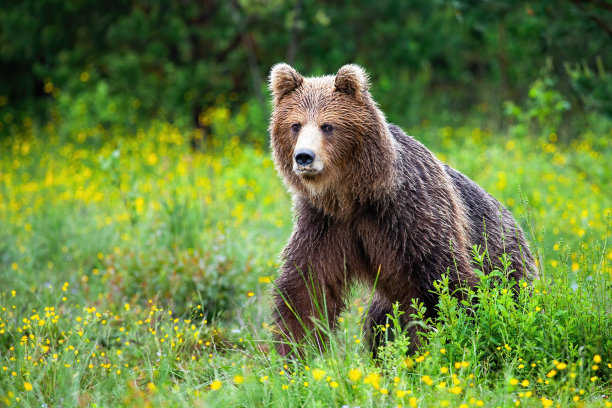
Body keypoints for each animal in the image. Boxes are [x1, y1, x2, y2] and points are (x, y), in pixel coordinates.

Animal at [268, 62, 536, 356]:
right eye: (295, 125)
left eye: (327, 125)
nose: (304, 156)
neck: (355, 197)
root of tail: (514, 220)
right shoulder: (324, 223)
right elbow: (306, 289)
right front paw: (294, 351)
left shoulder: (410, 214)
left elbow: (444, 283)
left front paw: (452, 341)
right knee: (379, 321)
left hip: (505, 262)